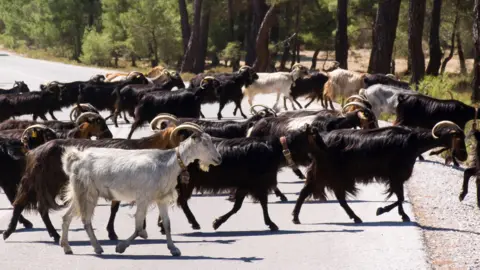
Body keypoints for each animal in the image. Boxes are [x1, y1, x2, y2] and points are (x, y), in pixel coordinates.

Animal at [58, 124, 221, 255]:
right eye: (204, 143)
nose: (219, 159)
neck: (168, 164)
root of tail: (75, 158)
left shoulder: (161, 199)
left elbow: (167, 224)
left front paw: (174, 249)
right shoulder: (143, 198)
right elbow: (138, 227)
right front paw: (121, 247)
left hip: (79, 193)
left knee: (66, 217)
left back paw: (67, 247)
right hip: (88, 193)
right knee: (85, 220)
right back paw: (97, 248)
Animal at [292, 122, 464, 224]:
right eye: (456, 136)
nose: (463, 155)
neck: (412, 142)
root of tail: (321, 140)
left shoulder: (396, 178)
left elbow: (400, 197)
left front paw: (402, 215)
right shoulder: (396, 175)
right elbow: (400, 197)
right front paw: (382, 211)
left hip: (327, 175)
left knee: (328, 195)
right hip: (327, 173)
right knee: (310, 192)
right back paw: (296, 218)